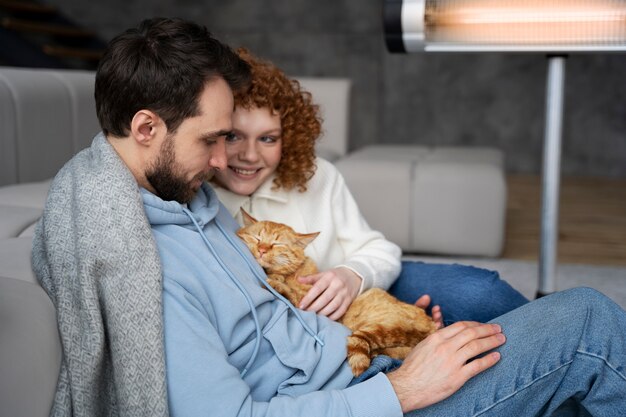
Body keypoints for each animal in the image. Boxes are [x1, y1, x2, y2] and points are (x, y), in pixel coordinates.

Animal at [236, 210, 436, 376]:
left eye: (277, 244)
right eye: (256, 237)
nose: (262, 250)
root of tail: (431, 327)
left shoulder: (308, 301)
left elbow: (290, 293)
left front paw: (275, 284)